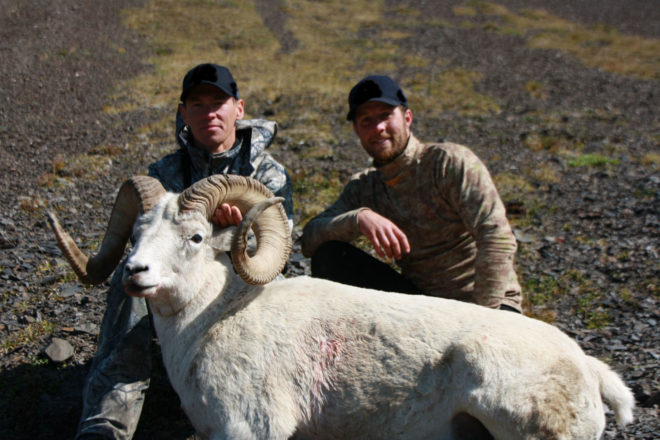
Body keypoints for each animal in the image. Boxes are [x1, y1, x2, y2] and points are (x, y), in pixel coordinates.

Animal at [47, 174, 636, 438]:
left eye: (194, 237)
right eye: (136, 234)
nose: (134, 274)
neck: (209, 323)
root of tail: (587, 369)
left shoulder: (251, 429)